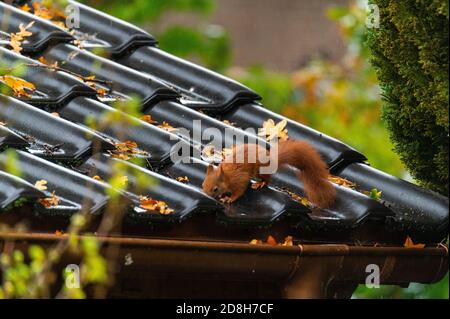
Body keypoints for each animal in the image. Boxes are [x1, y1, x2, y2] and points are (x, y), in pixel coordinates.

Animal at [202, 141, 336, 210]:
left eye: (215, 189)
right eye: (203, 184)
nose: (205, 195)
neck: (227, 176)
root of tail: (272, 160)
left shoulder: (239, 179)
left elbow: (239, 191)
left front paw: (229, 199)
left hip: (261, 170)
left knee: (268, 179)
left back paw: (260, 183)